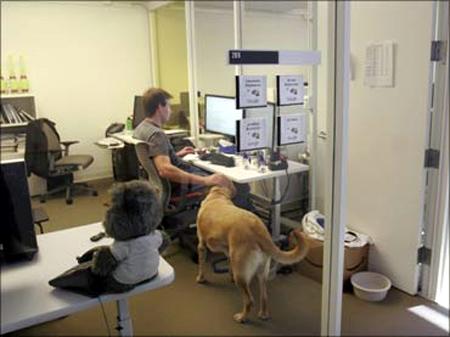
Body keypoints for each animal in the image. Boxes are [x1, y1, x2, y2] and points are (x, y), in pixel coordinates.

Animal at [197, 185, 310, 322]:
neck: (217, 197)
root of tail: (259, 231)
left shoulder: (201, 246)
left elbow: (201, 266)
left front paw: (200, 278)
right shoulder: (229, 252)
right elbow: (229, 265)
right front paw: (230, 276)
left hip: (241, 274)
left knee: (249, 300)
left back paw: (241, 317)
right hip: (262, 272)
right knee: (264, 295)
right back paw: (263, 314)